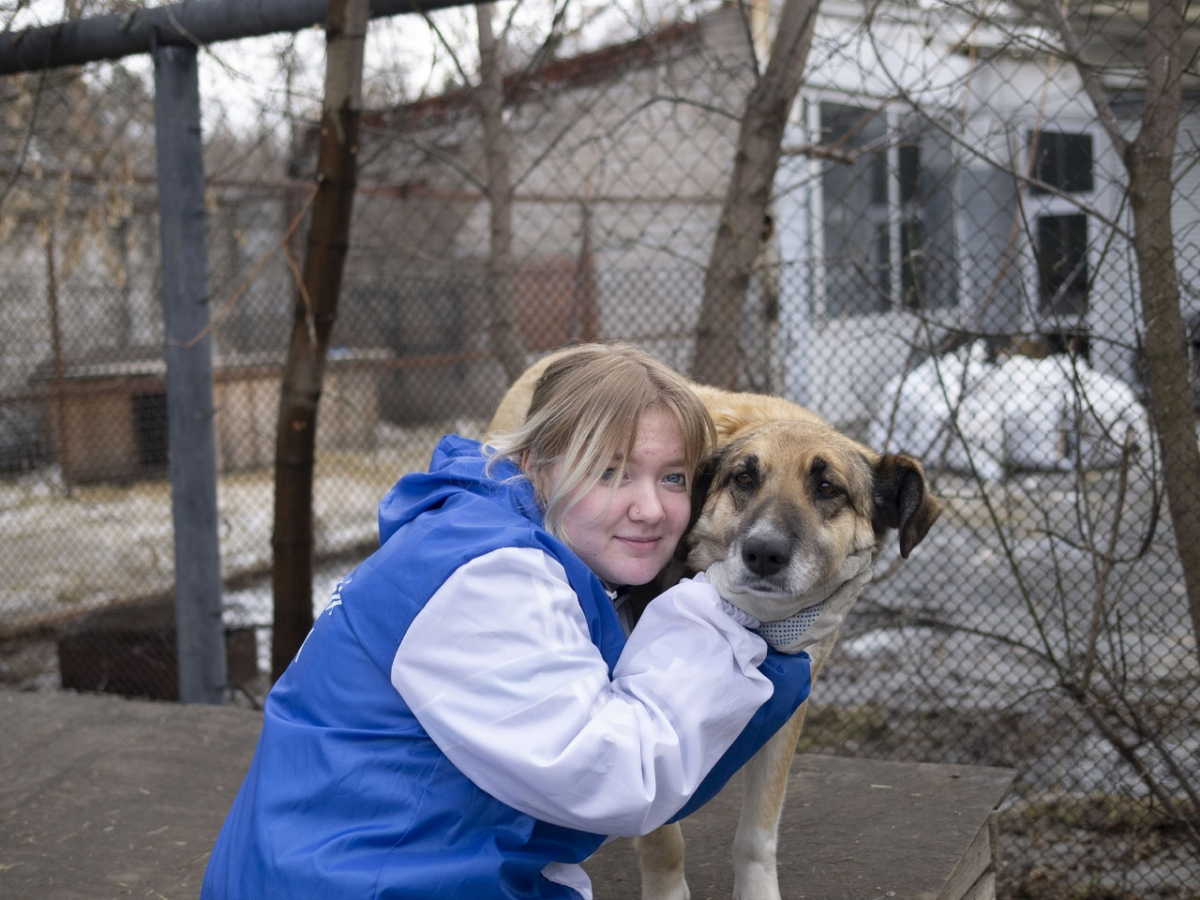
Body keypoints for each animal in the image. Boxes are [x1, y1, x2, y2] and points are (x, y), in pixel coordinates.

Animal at [484, 352, 936, 900]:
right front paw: (666, 890)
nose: (763, 553)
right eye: (743, 478)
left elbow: (758, 834)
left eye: (828, 488)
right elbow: (661, 828)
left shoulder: (790, 707)